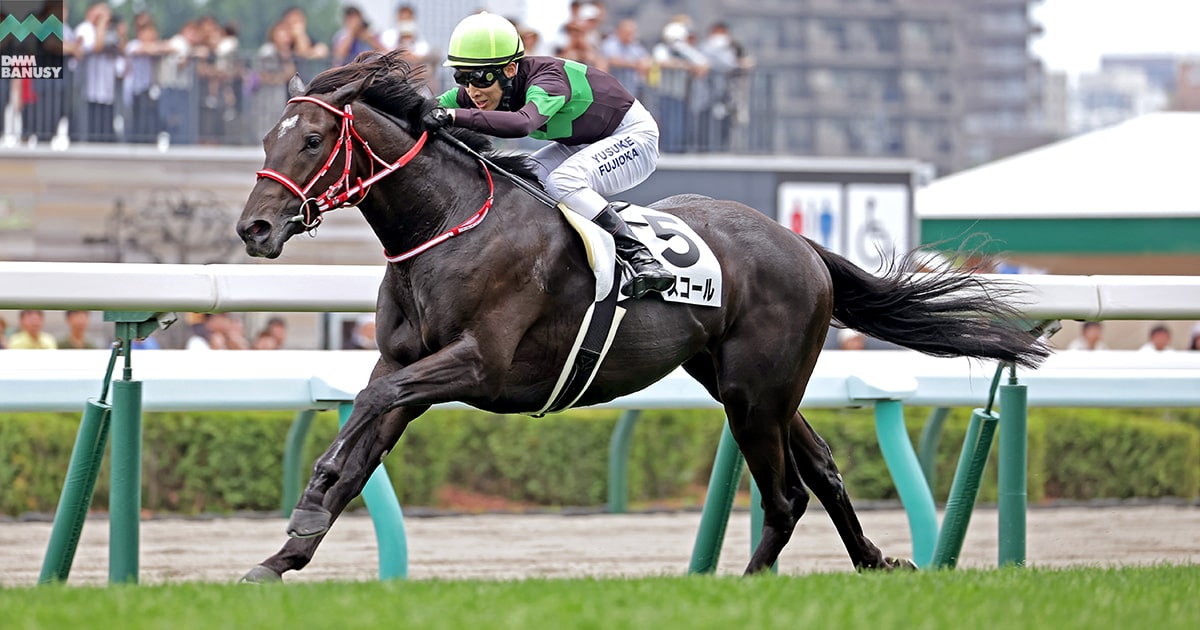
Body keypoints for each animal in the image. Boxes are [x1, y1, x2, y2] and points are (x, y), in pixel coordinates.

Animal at [235, 53, 1047, 582]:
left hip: (755, 392)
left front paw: (307, 503)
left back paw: (744, 585)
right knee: (823, 470)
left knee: (785, 495)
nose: (255, 229)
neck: (449, 223)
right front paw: (282, 555)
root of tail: (800, 244)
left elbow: (368, 409)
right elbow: (367, 437)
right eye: (267, 140)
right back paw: (876, 560)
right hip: (749, 384)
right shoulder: (410, 363)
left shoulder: (475, 364)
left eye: (313, 140)